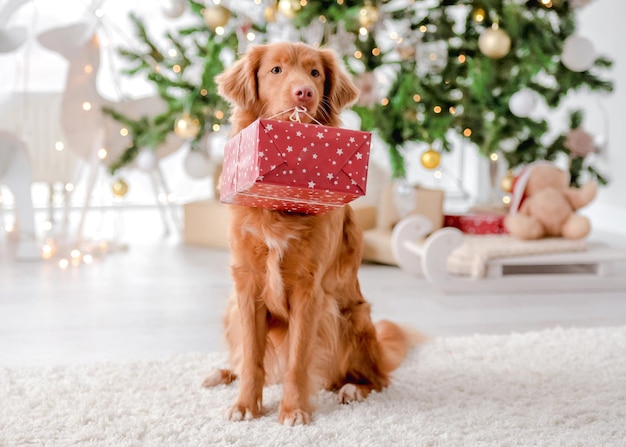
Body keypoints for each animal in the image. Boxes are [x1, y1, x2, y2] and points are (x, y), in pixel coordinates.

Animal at [204, 42, 420, 428]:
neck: (281, 206)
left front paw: (293, 410)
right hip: (232, 308)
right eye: (276, 70)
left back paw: (352, 389)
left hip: (348, 317)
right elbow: (253, 358)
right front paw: (246, 405)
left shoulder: (310, 291)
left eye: (315, 73)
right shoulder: (247, 285)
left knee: (377, 379)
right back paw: (222, 373)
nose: (304, 92)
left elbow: (297, 361)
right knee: (242, 357)